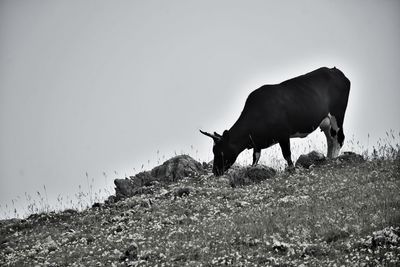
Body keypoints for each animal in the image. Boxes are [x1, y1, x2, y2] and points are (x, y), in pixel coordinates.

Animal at [200, 66, 350, 176]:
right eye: (213, 151)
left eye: (221, 152)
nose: (215, 172)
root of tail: (333, 70)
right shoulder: (257, 142)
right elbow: (255, 158)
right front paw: (252, 170)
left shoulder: (283, 134)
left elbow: (287, 154)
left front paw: (291, 170)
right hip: (326, 122)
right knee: (330, 140)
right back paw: (329, 158)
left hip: (338, 115)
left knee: (339, 138)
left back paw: (334, 160)